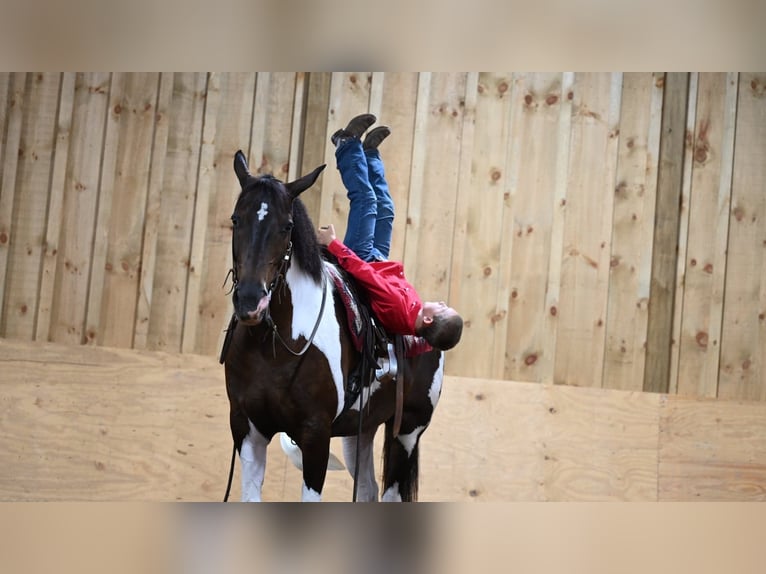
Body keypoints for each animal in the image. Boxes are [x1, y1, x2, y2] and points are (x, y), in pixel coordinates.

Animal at [222, 151, 448, 502]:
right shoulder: (247, 428)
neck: (273, 347)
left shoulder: (316, 434)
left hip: (408, 430)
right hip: (361, 430)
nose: (250, 300)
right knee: (368, 489)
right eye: (236, 219)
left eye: (287, 226)